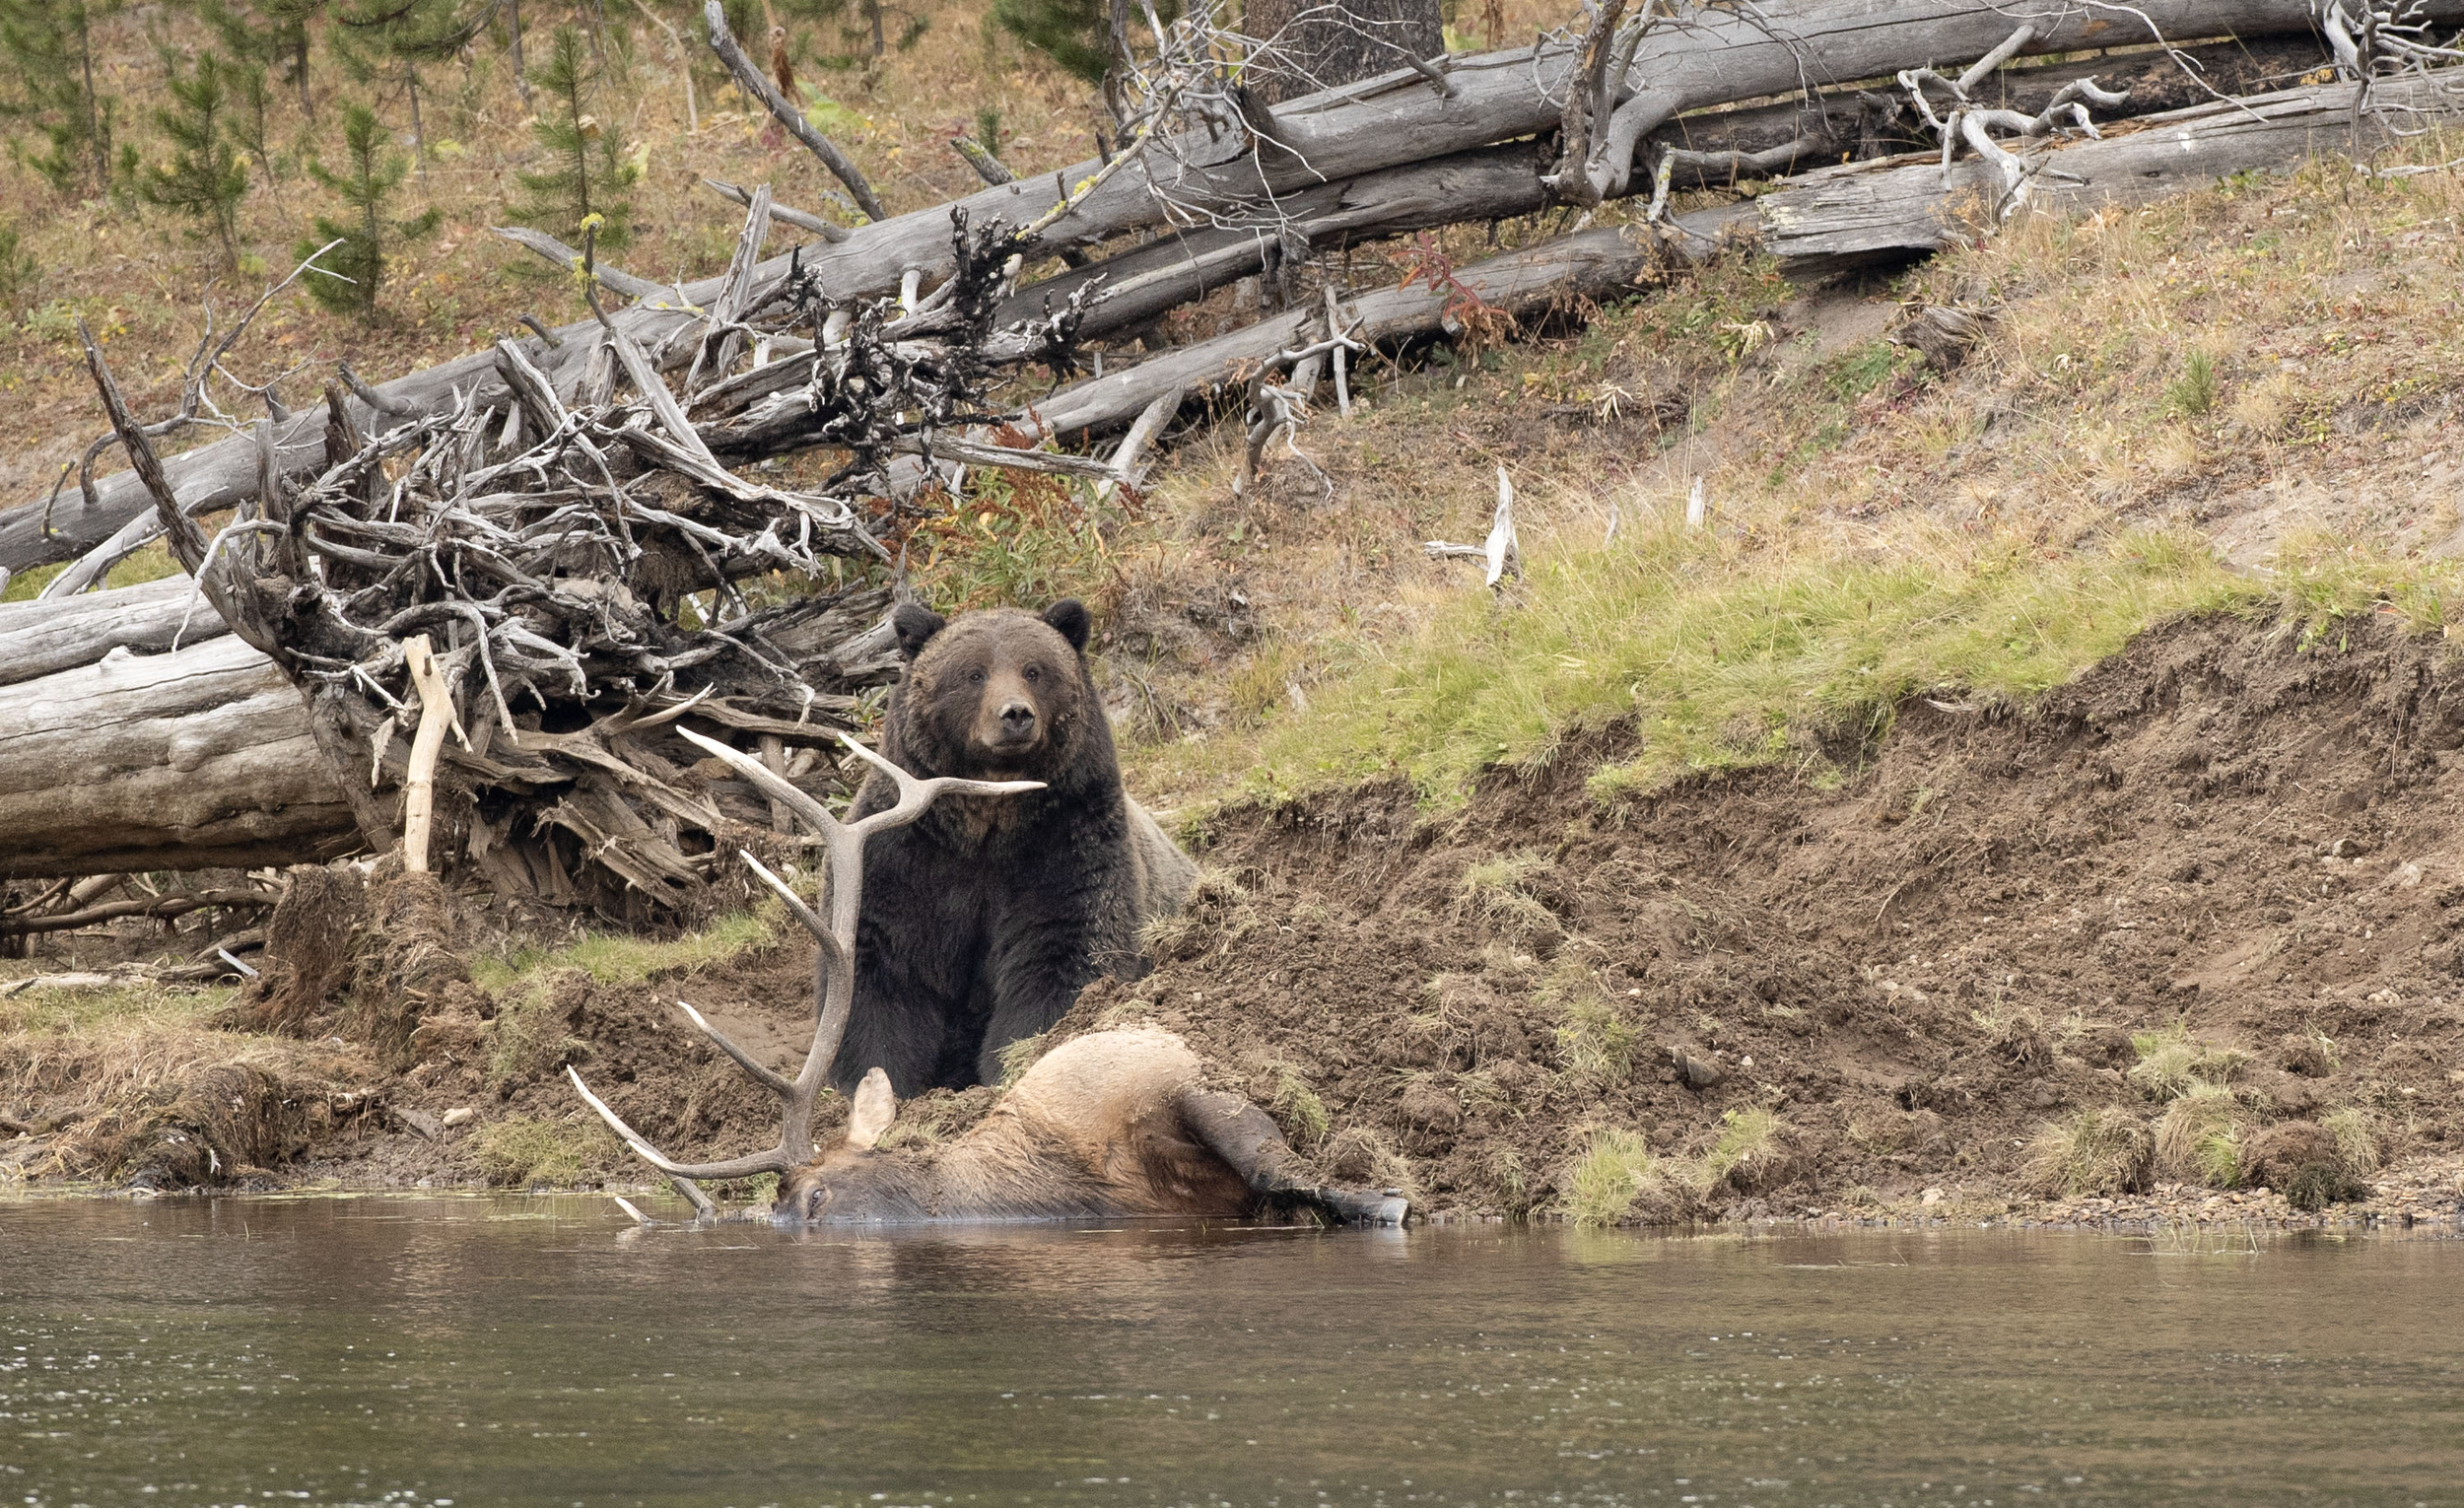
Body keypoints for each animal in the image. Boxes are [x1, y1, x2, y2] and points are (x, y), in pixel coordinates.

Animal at [831, 598, 1197, 1096]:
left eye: (1034, 670)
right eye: (973, 672)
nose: (1015, 714)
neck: (987, 823)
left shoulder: (1069, 844)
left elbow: (1064, 955)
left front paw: (1010, 1063)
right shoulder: (904, 859)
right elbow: (882, 970)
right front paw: (874, 1080)